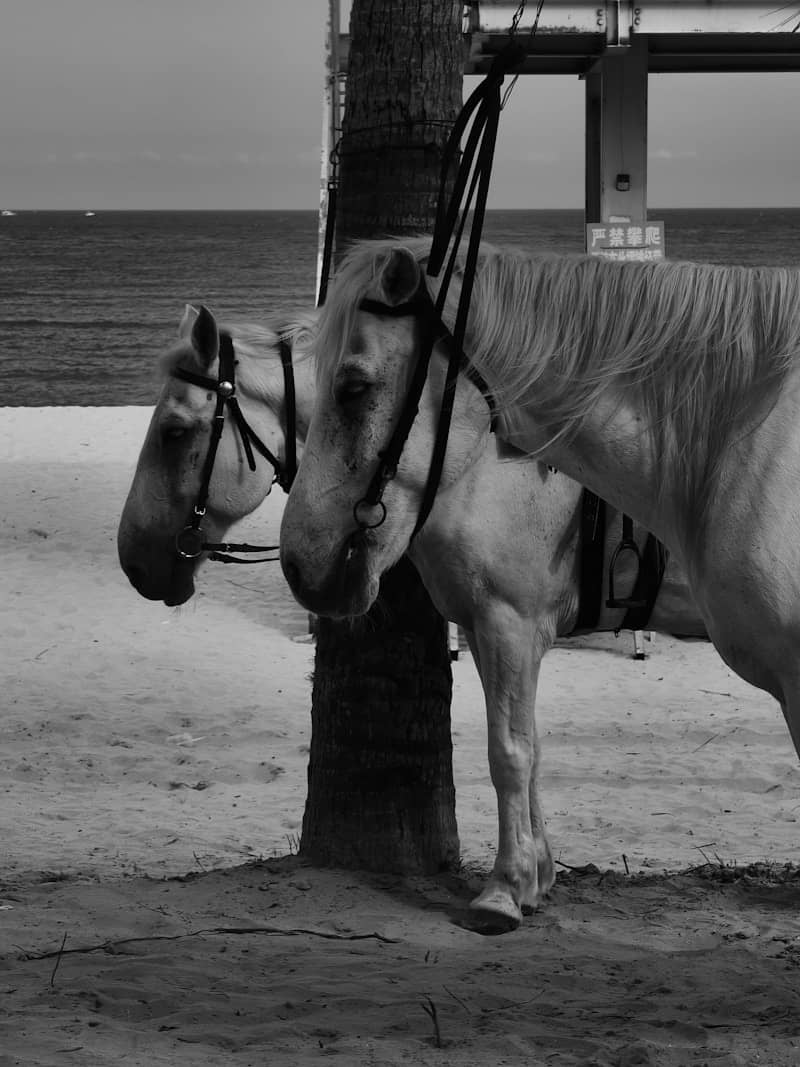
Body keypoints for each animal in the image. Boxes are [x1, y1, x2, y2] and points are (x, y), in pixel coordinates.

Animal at [119, 303, 704, 932]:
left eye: (174, 432)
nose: (134, 561)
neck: (468, 456)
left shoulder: (509, 626)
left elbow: (510, 754)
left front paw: (504, 890)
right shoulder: (486, 630)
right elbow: (531, 750)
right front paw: (537, 878)